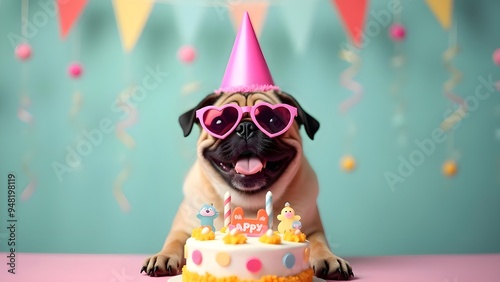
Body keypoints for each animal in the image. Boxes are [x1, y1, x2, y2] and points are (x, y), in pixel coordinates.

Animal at [139, 90, 354, 280]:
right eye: (219, 123)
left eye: (273, 121)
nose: (245, 128)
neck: (248, 201)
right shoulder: (182, 229)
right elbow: (174, 241)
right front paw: (163, 256)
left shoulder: (313, 230)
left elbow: (318, 243)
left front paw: (329, 258)